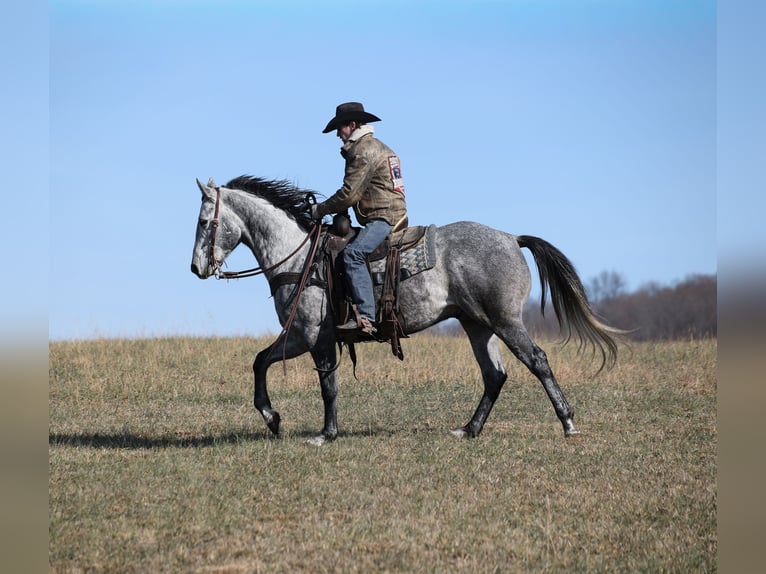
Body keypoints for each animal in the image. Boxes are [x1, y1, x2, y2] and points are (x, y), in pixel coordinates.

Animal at [190, 175, 623, 445]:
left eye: (204, 221)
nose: (196, 268)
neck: (299, 257)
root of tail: (511, 238)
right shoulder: (298, 334)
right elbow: (260, 361)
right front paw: (271, 417)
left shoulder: (316, 335)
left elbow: (328, 385)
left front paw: (325, 434)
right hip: (477, 325)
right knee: (494, 375)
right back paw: (469, 429)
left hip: (504, 321)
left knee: (537, 360)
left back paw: (567, 422)